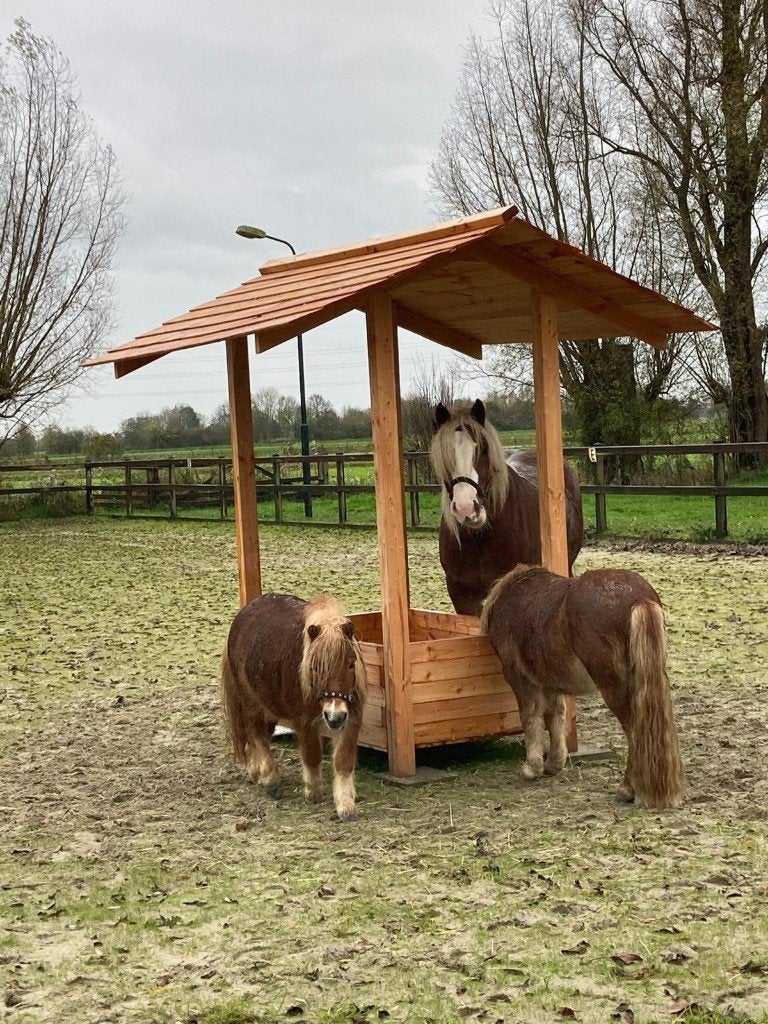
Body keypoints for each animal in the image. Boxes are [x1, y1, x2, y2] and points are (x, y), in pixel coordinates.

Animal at [220, 592, 367, 822]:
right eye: (314, 667)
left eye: (351, 664)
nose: (334, 717)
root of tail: (246, 610)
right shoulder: (304, 723)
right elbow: (312, 754)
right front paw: (313, 791)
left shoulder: (351, 720)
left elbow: (344, 760)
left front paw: (346, 805)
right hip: (251, 703)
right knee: (256, 734)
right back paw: (270, 780)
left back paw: (256, 772)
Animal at [480, 565, 685, 809]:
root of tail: (639, 597)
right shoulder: (550, 681)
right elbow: (556, 716)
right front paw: (554, 763)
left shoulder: (519, 677)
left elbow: (530, 717)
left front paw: (532, 768)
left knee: (634, 730)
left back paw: (627, 789)